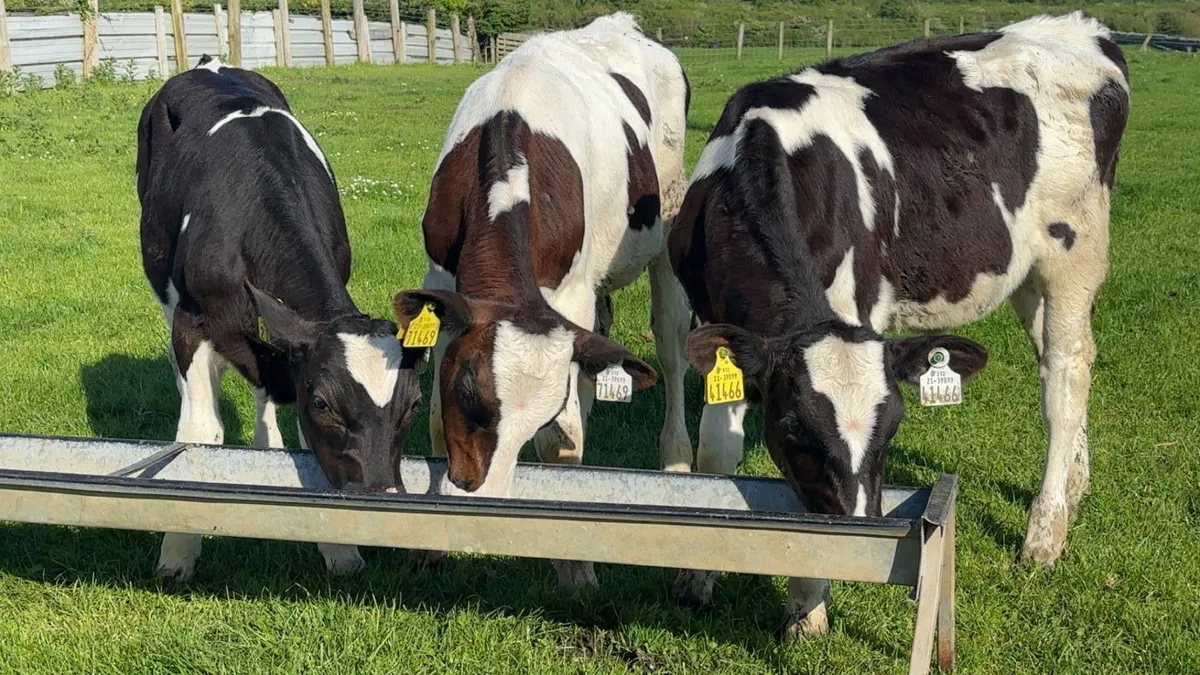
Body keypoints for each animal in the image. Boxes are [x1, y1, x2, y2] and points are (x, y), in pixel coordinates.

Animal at [137, 56, 425, 583]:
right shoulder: (192, 320)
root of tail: (209, 63)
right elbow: (200, 434)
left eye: (412, 404)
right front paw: (177, 552)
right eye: (322, 404)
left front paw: (340, 550)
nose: (378, 497)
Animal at [392, 13, 694, 589]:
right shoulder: (440, 282)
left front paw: (574, 565)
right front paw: (430, 548)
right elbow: (438, 423)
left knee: (670, 353)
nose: (483, 507)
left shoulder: (568, 297)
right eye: (470, 398)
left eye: (535, 421)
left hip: (668, 219)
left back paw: (677, 462)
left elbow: (561, 442)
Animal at [668, 13, 1128, 639]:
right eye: (793, 432)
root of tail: (1082, 27)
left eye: (892, 431)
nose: (859, 535)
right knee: (1063, 363)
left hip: (1075, 252)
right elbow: (717, 450)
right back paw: (1076, 486)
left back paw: (1044, 533)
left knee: (1065, 374)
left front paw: (807, 608)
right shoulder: (715, 319)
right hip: (1027, 270)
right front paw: (696, 579)